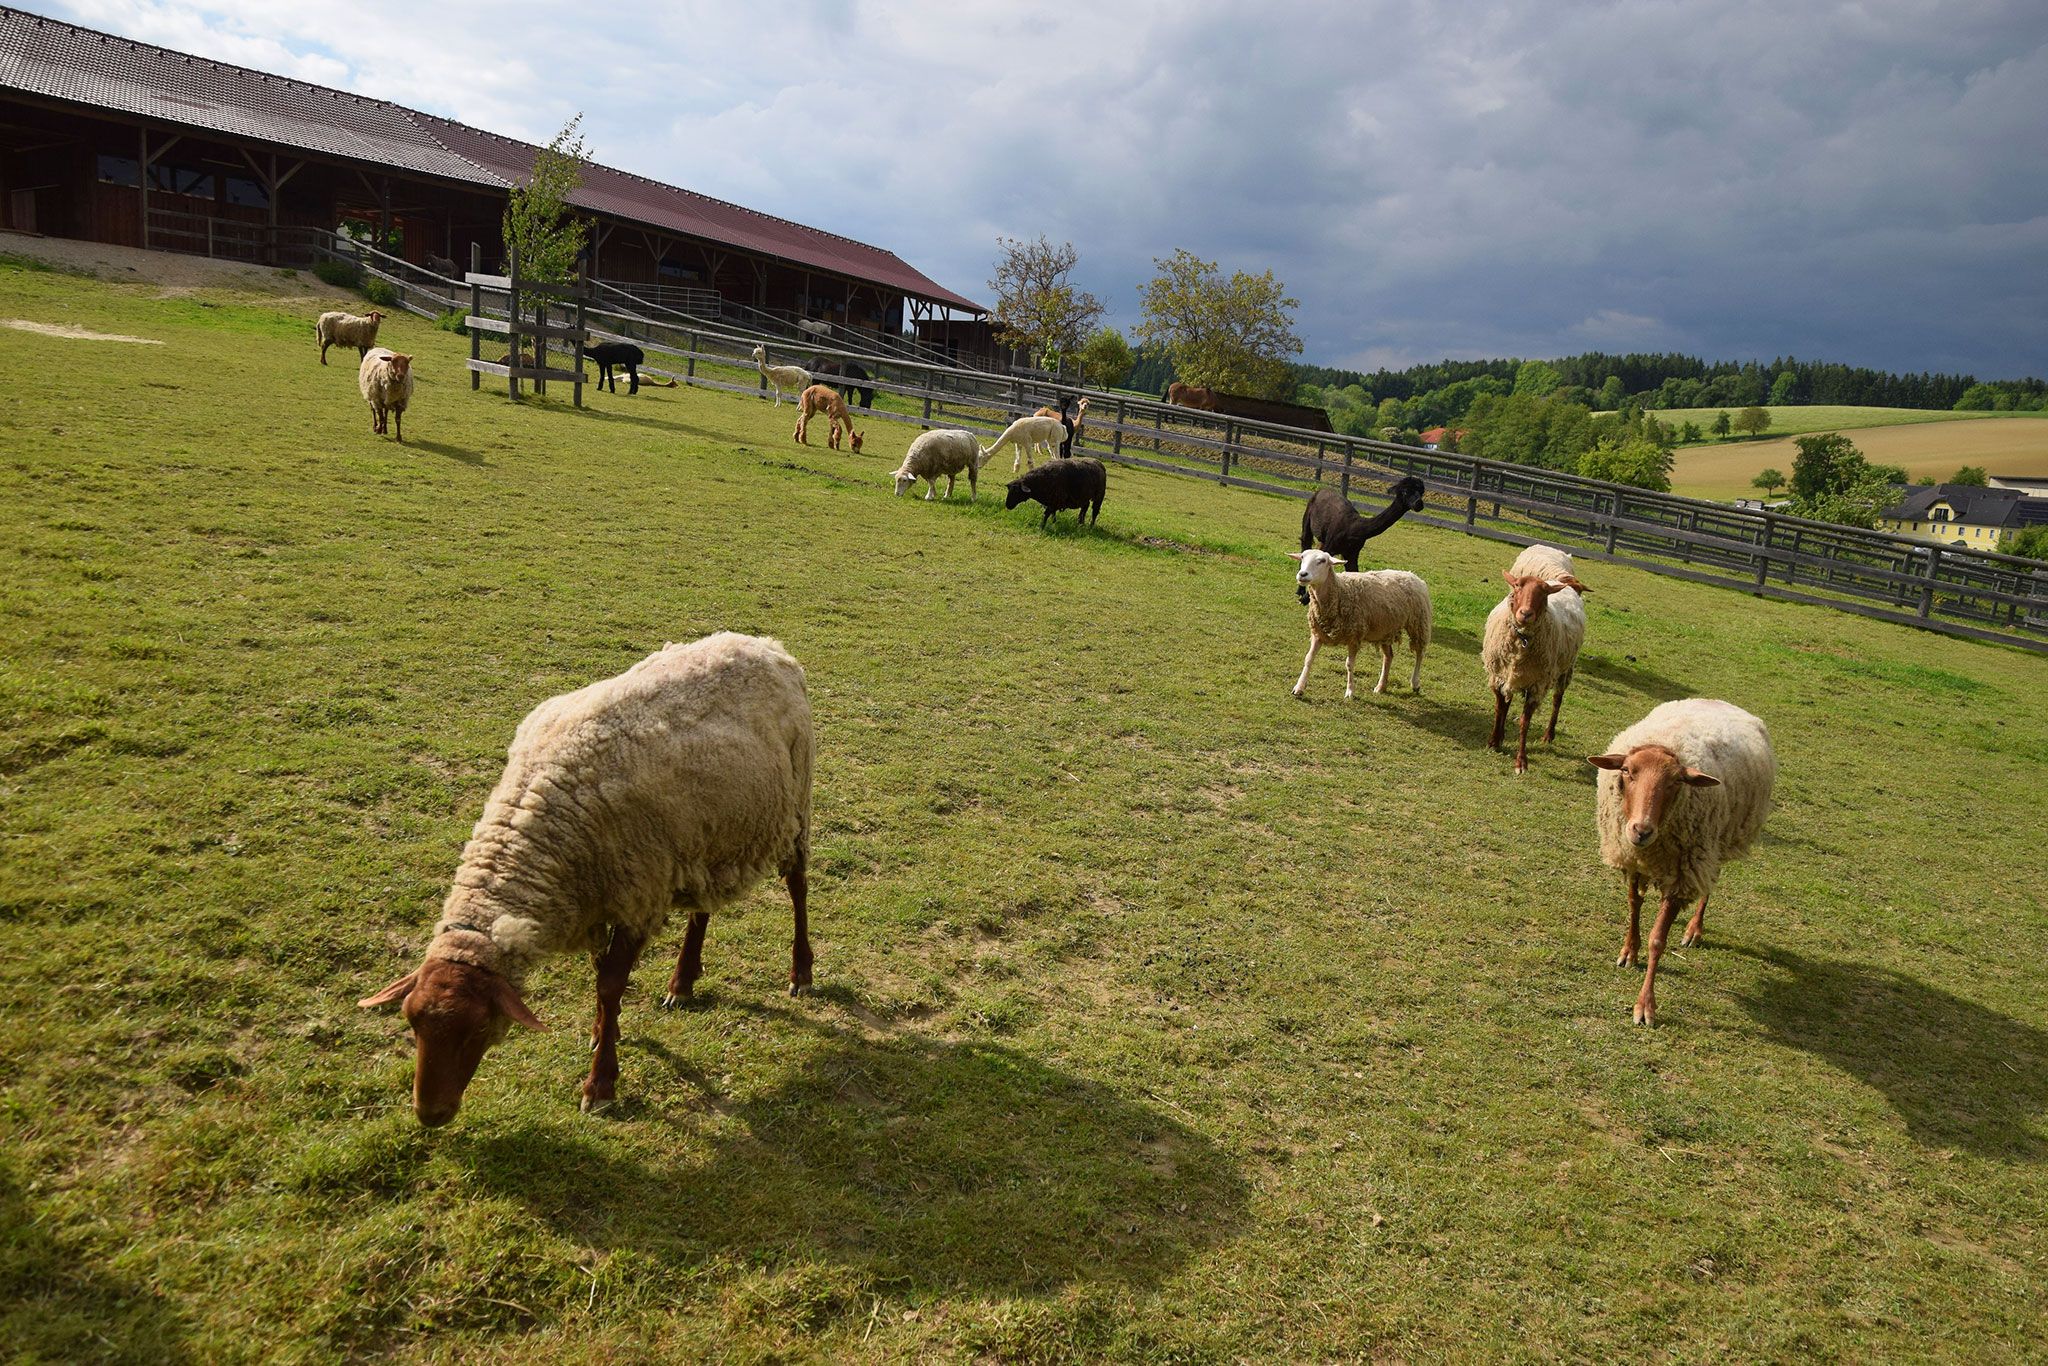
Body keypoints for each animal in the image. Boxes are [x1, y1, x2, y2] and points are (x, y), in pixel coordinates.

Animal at [358, 632, 816, 1124]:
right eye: (411, 1021)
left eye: (478, 1027)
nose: (430, 1114)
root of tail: (761, 643)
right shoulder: (598, 898)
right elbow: (601, 980)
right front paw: (601, 1032)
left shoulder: (638, 895)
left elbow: (611, 985)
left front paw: (601, 1083)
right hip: (710, 837)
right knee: (702, 909)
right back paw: (682, 982)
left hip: (795, 810)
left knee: (798, 888)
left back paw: (801, 973)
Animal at [1287, 549, 1432, 699]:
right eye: (1302, 557)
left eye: (1322, 561)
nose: (1302, 574)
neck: (1338, 591)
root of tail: (1412, 575)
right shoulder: (1318, 634)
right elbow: (1308, 659)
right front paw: (1299, 687)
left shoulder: (1354, 636)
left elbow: (1349, 664)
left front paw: (1350, 691)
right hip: (1385, 630)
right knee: (1389, 656)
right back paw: (1381, 686)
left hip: (1419, 623)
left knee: (1420, 653)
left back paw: (1415, 683)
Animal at [1480, 544, 1590, 774]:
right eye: (1517, 587)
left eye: (1543, 593)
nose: (1525, 613)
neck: (1521, 640)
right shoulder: (1498, 676)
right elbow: (1500, 709)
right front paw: (1494, 741)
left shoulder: (1537, 684)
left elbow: (1525, 722)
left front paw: (1521, 761)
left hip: (1565, 668)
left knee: (1557, 700)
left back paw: (1549, 734)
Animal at [1589, 698, 1775, 1026]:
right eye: (1626, 770)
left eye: (1676, 781)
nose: (1641, 830)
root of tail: (1720, 700)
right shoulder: (1632, 859)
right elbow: (1633, 906)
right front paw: (1629, 951)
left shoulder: (1682, 876)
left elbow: (1658, 941)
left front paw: (1645, 1005)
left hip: (1713, 845)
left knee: (1710, 883)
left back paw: (1694, 930)